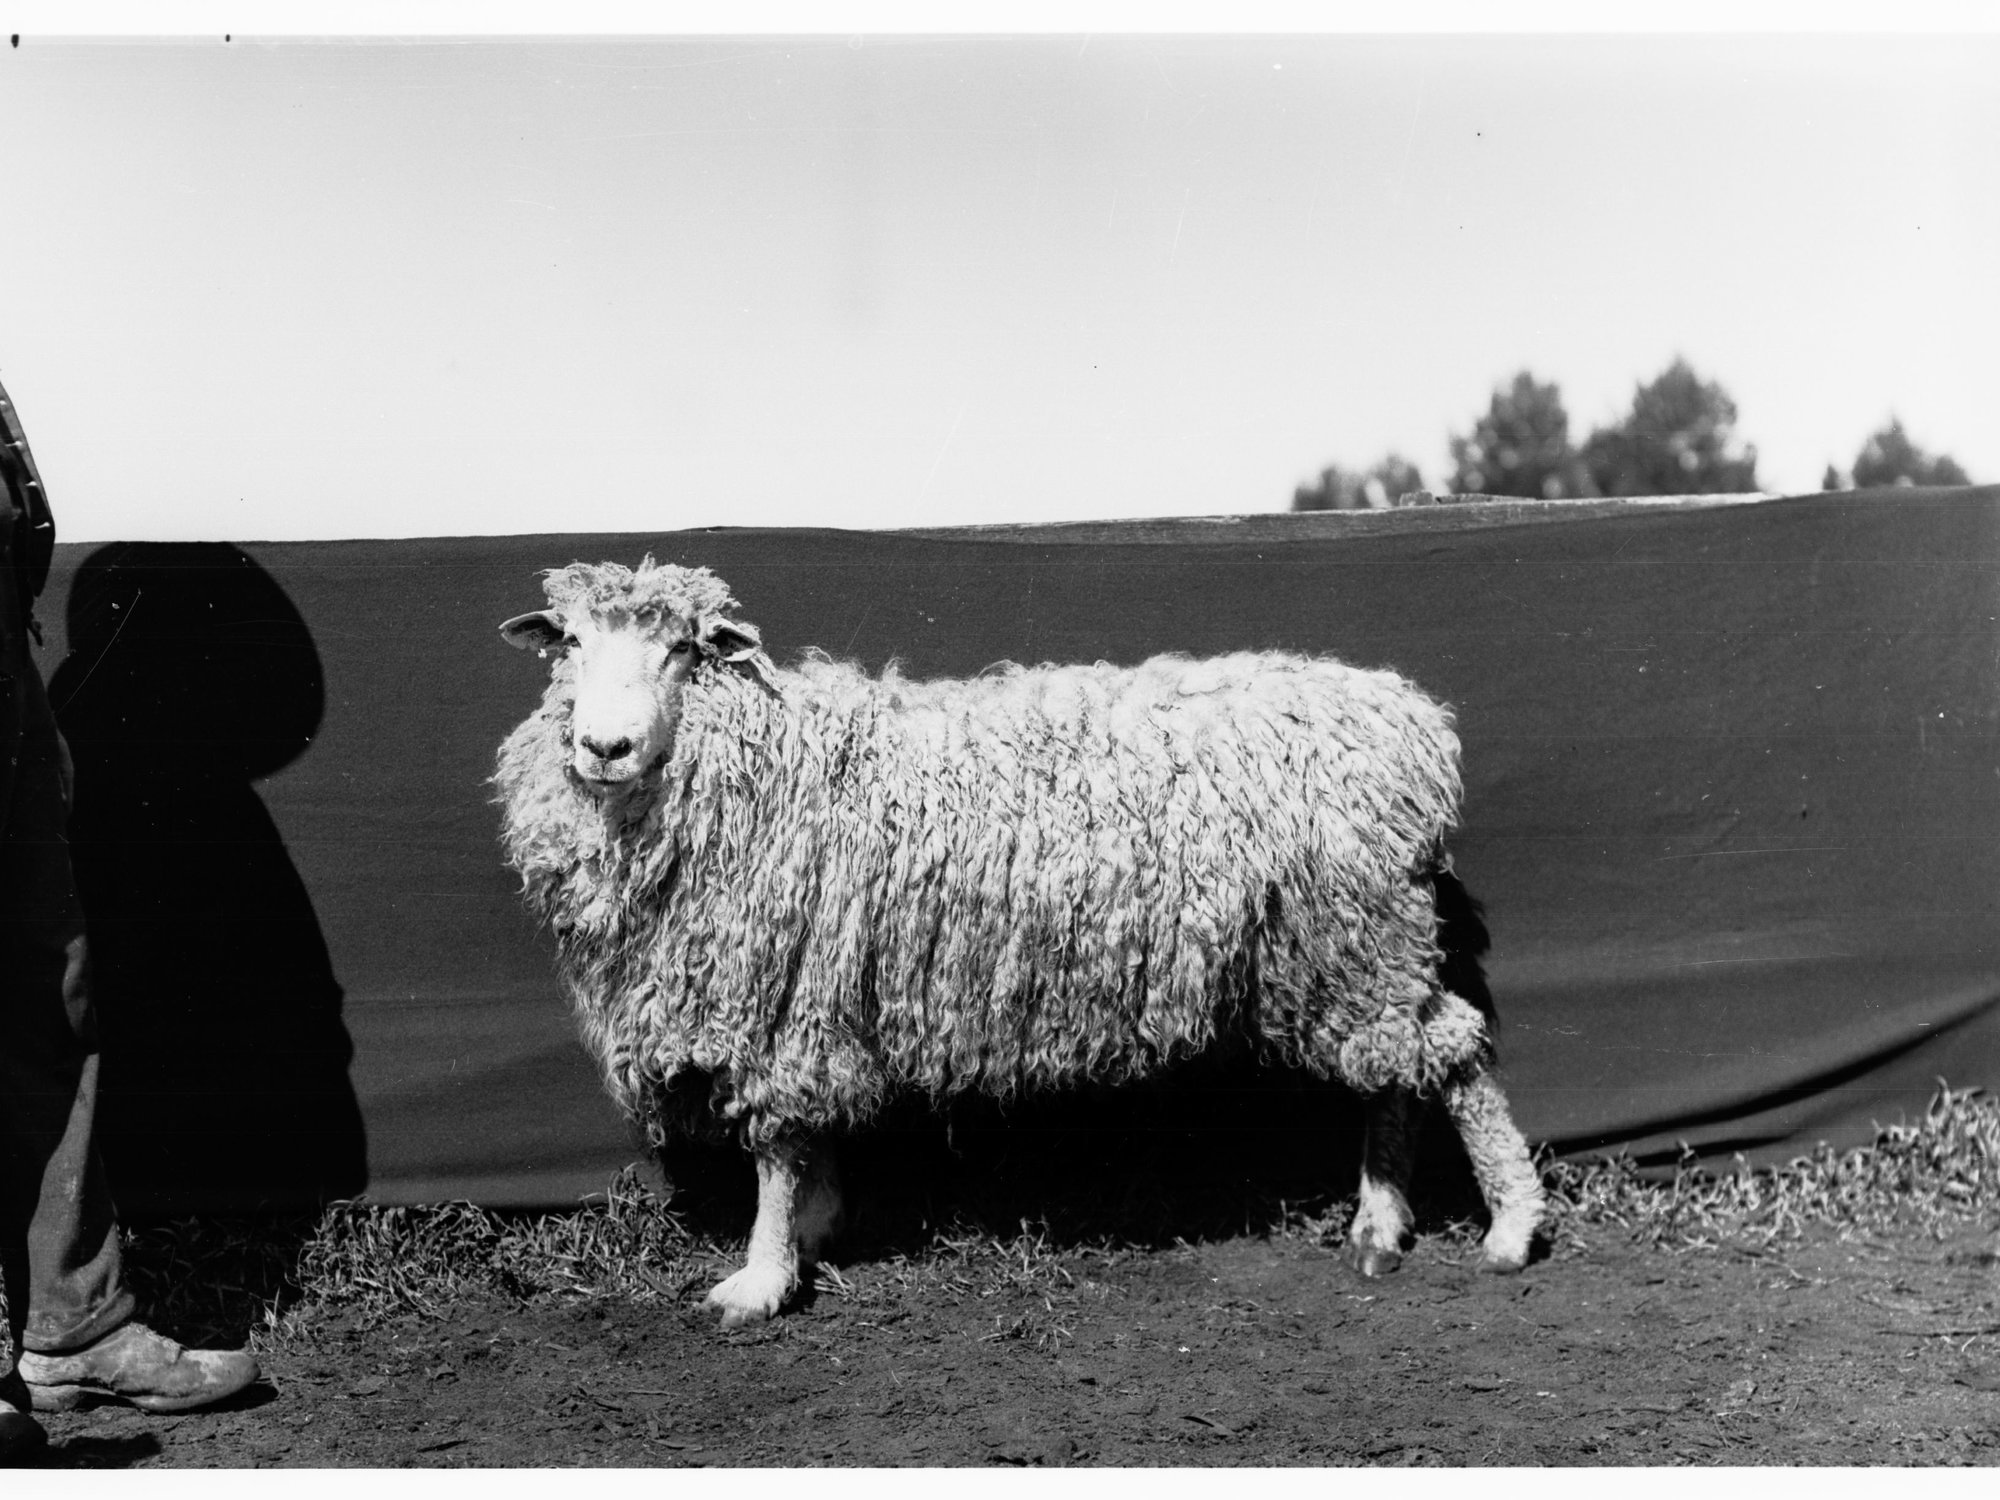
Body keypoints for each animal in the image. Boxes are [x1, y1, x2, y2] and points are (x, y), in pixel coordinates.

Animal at [494, 557, 1547, 1326]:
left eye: (682, 649)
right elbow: (812, 1139)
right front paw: (821, 1228)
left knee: (1450, 1055)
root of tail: (1410, 723)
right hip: (1346, 947)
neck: (757, 757)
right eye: (570, 643)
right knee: (1397, 1072)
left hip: (1357, 930)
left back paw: (1505, 1228)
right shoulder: (816, 994)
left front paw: (760, 1279)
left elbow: (779, 1149)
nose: (603, 749)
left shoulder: (776, 996)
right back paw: (1379, 1227)